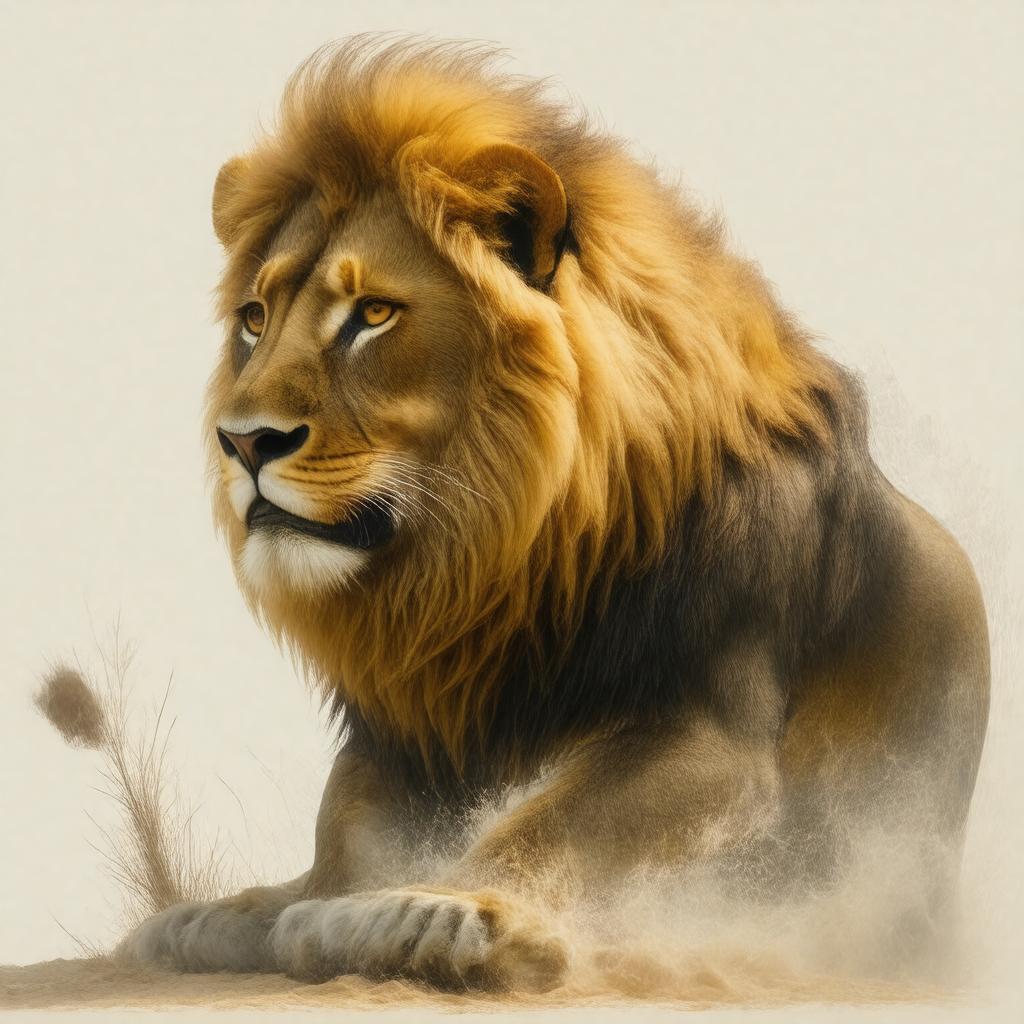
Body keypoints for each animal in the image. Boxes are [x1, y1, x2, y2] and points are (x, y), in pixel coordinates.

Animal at [119, 38, 989, 991]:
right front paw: (231, 915)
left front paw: (444, 909)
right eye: (255, 318)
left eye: (374, 313)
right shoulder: (409, 728)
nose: (242, 442)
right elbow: (343, 831)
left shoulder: (712, 728)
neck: (492, 566)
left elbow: (561, 817)